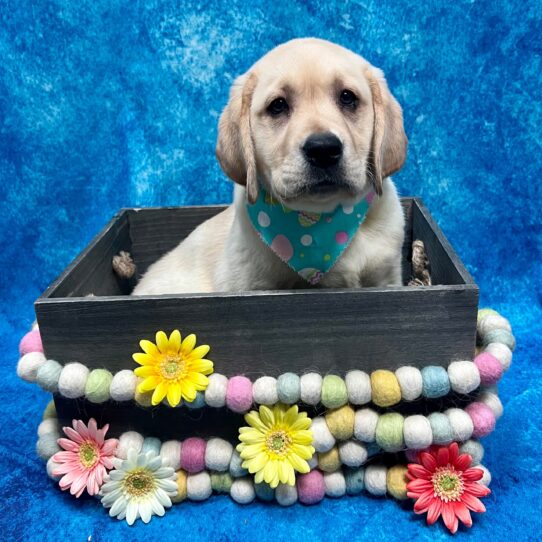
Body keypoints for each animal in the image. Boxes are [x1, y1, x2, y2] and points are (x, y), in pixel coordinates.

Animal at [135, 38, 408, 296]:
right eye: (277, 105)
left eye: (347, 97)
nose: (323, 149)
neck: (320, 224)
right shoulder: (247, 284)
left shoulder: (388, 278)